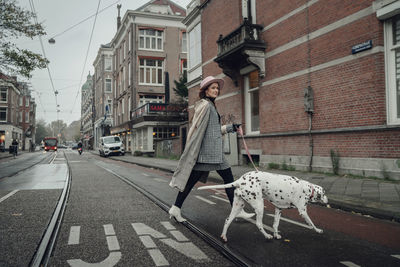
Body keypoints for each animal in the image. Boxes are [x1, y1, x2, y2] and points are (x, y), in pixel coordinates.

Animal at [198, 172, 328, 243]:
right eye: (324, 193)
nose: (328, 200)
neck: (308, 189)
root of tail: (240, 180)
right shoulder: (303, 211)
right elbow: (311, 223)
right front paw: (318, 230)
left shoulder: (278, 209)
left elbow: (275, 224)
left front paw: (276, 235)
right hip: (259, 205)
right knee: (259, 224)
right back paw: (266, 236)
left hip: (237, 206)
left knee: (227, 220)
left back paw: (224, 236)